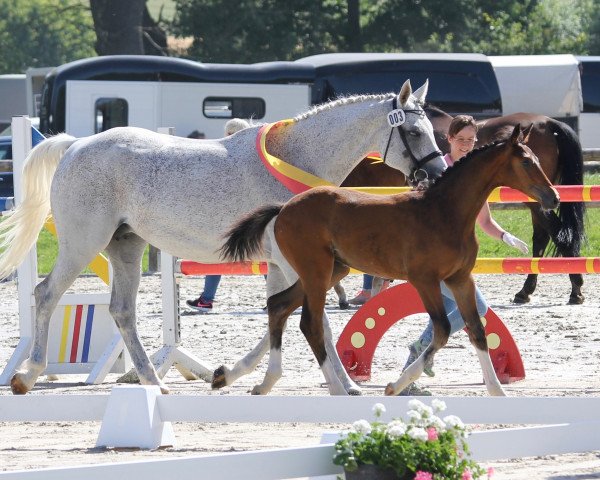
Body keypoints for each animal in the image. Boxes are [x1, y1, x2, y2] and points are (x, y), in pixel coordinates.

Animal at [223, 125, 560, 396]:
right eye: (526, 161)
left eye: (537, 159)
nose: (554, 197)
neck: (444, 212)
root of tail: (283, 208)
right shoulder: (425, 280)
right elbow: (442, 330)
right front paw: (396, 385)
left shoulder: (460, 278)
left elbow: (477, 330)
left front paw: (497, 391)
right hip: (315, 271)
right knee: (310, 323)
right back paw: (337, 389)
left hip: (331, 270)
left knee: (279, 305)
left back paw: (253, 380)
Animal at [342, 107, 584, 306]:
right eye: (526, 161)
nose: (555, 197)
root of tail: (551, 122)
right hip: (537, 203)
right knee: (544, 236)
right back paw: (530, 290)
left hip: (535, 202)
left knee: (557, 234)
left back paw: (573, 289)